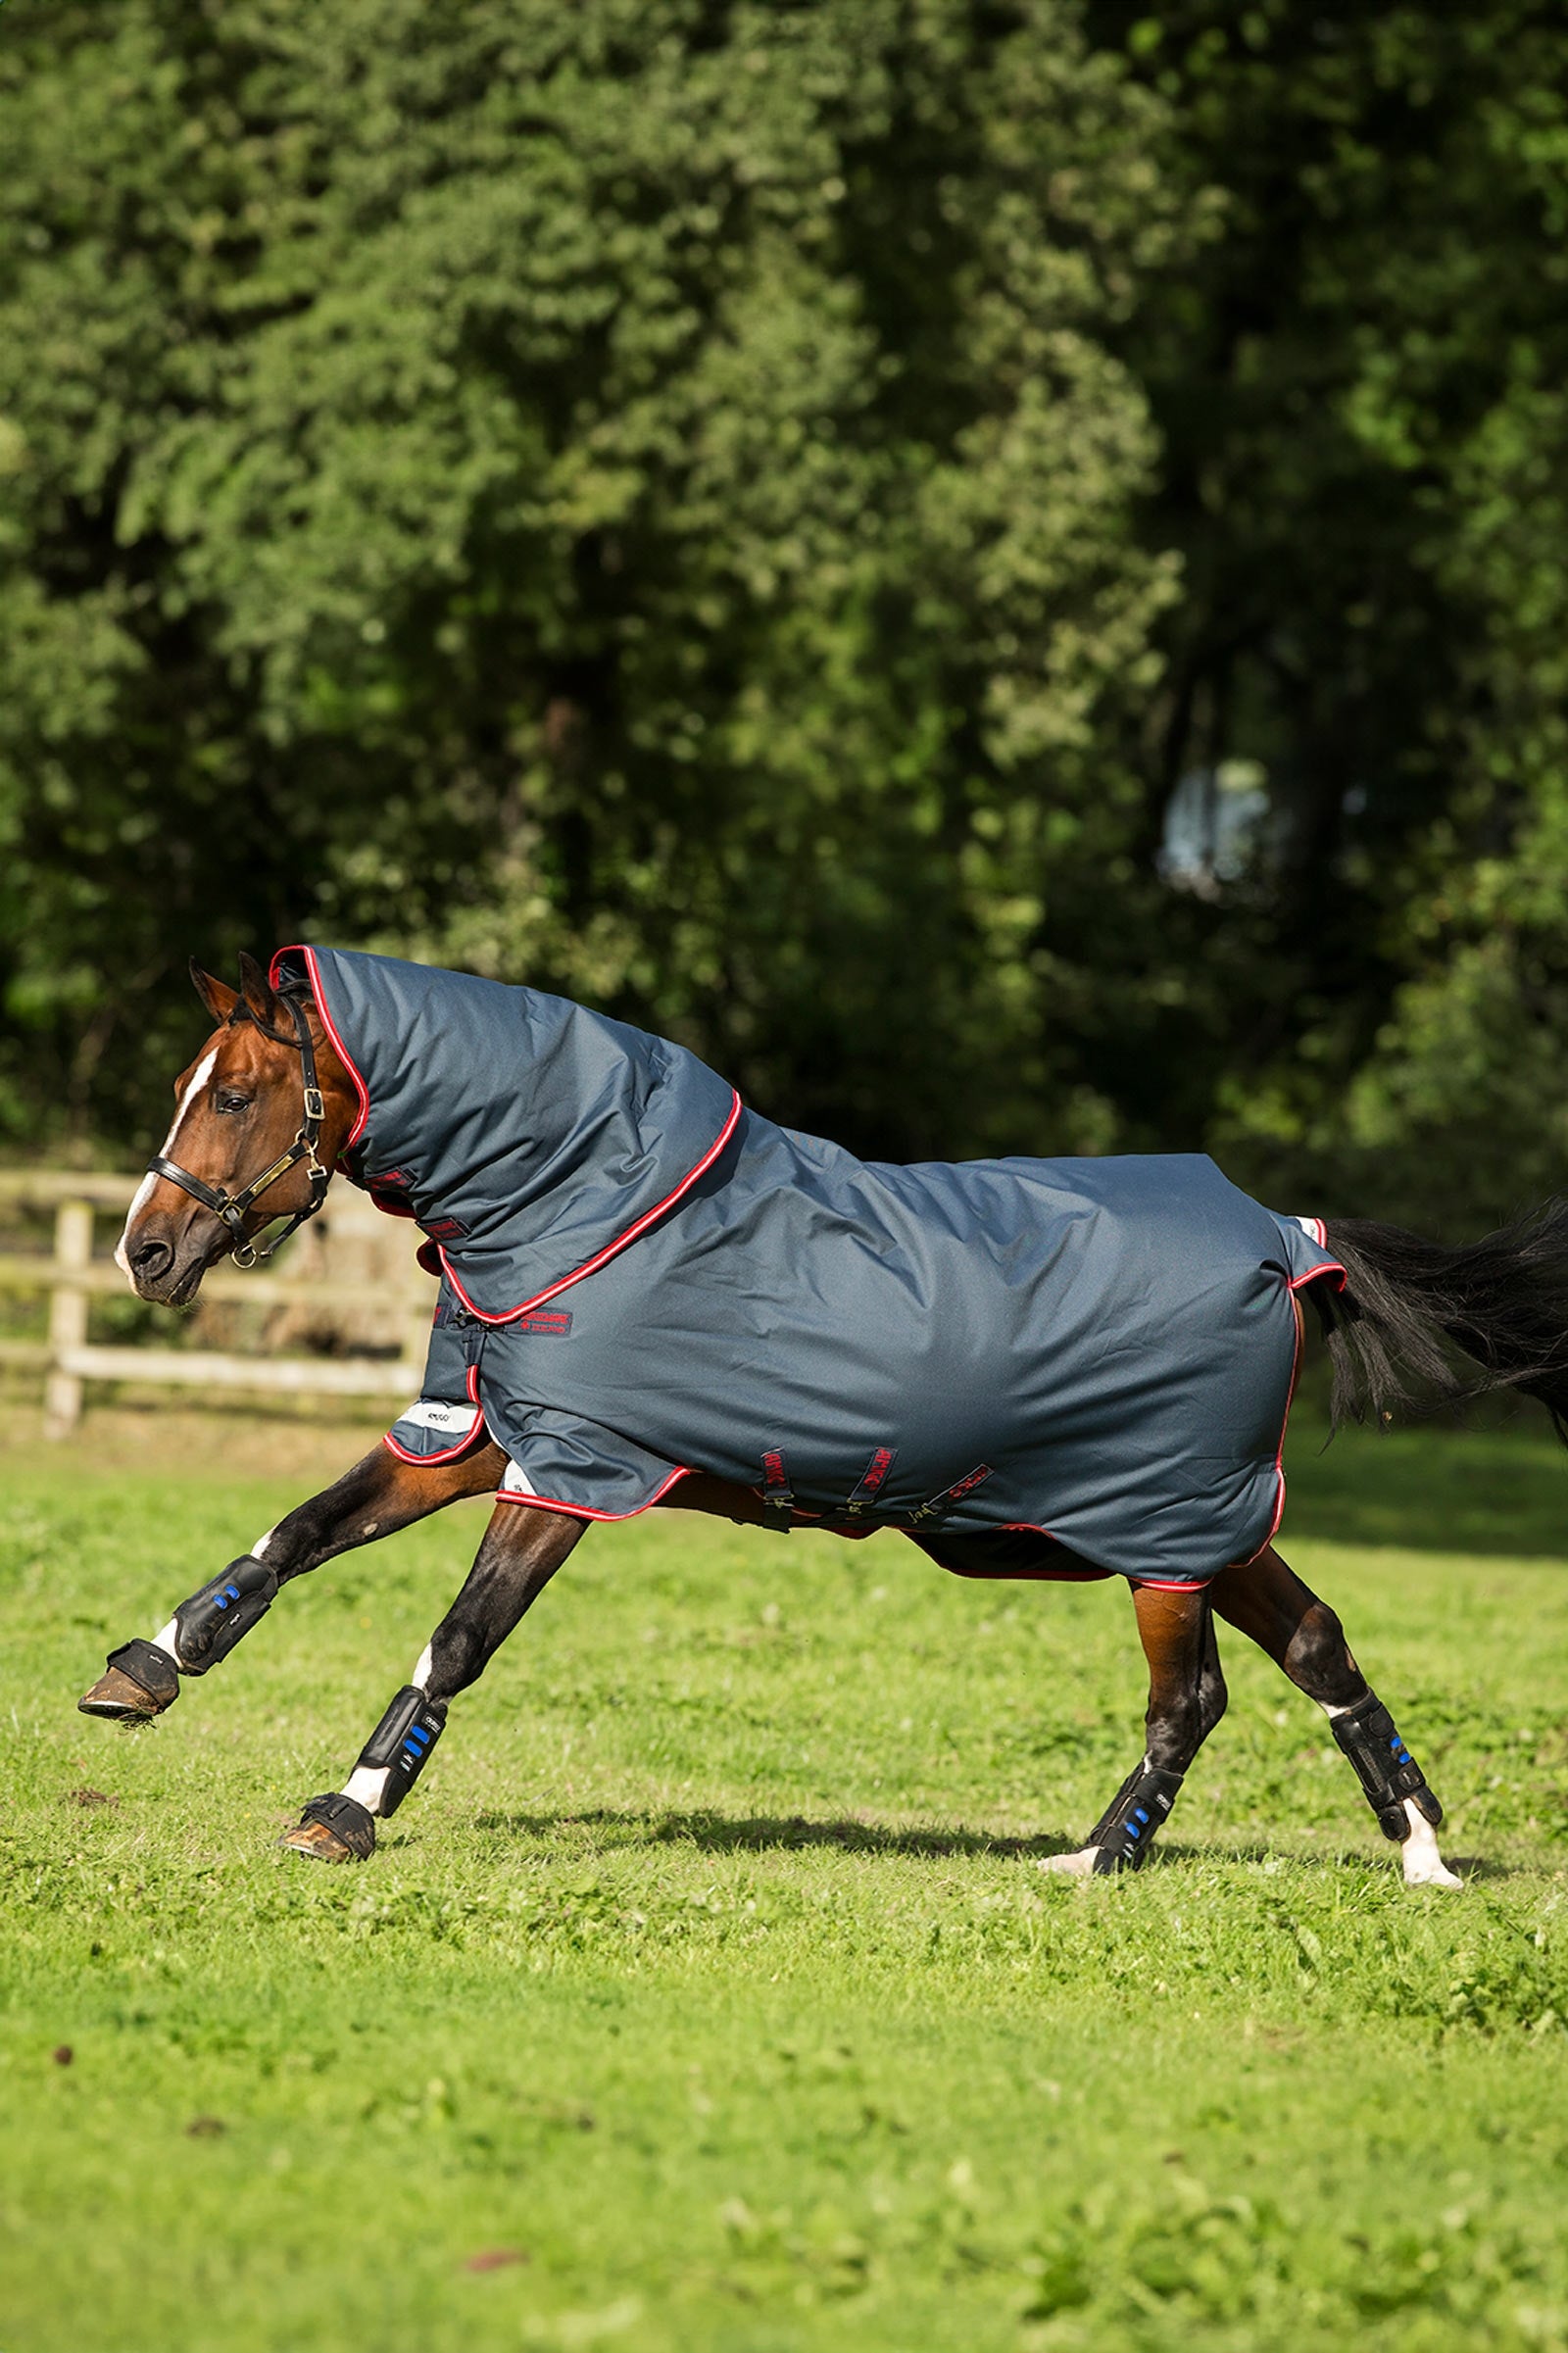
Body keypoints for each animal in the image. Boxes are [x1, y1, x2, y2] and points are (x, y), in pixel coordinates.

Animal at [80, 949, 1568, 1885]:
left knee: (1190, 1696)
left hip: (1163, 1526)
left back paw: (1096, 1856)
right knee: (1314, 1644)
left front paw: (348, 1808)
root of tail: (1288, 1239)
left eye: (233, 1093)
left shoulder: (572, 1474)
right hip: (1203, 1523)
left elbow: (457, 1640)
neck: (590, 1199)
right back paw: (1421, 1853)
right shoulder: (489, 1431)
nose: (143, 1254)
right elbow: (300, 1530)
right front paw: (148, 1666)